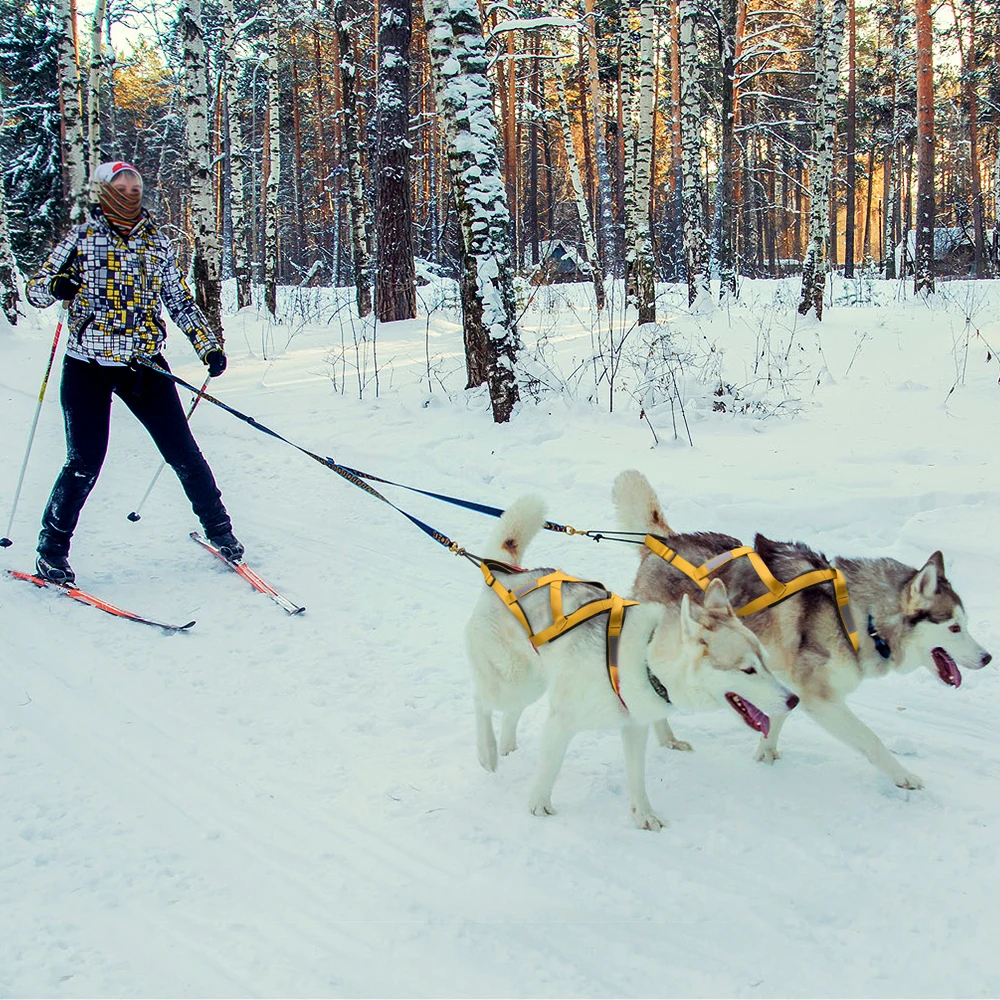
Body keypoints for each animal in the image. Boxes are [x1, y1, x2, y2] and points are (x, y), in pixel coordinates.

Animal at [464, 496, 800, 832]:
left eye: (765, 660)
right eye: (748, 670)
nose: (793, 700)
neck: (645, 657)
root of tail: (507, 576)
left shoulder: (635, 726)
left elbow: (637, 776)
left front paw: (644, 815)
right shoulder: (562, 721)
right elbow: (550, 767)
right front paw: (538, 806)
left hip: (529, 682)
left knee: (511, 710)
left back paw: (506, 746)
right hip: (511, 678)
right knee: (481, 701)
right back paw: (488, 752)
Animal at [608, 468, 992, 788]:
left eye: (966, 623)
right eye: (954, 628)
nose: (988, 658)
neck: (861, 619)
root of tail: (665, 545)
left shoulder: (791, 683)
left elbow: (779, 714)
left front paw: (766, 753)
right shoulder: (821, 698)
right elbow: (871, 740)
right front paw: (903, 776)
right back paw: (667, 737)